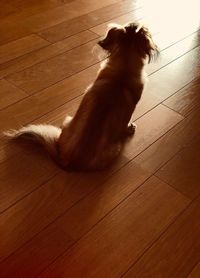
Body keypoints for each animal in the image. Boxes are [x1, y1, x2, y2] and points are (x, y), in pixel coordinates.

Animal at [4, 22, 158, 169]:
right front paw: (130, 128)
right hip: (115, 148)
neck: (122, 73)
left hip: (67, 120)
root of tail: (67, 161)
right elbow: (126, 122)